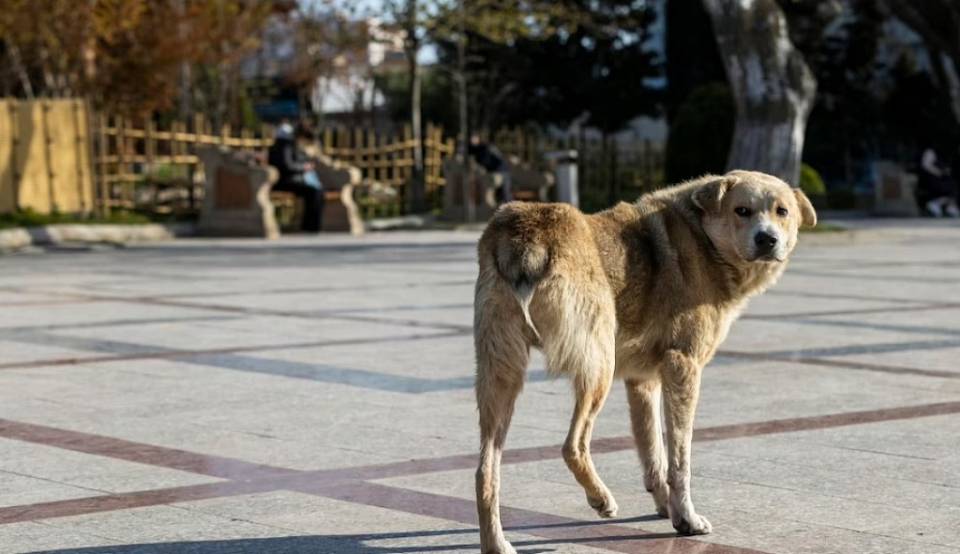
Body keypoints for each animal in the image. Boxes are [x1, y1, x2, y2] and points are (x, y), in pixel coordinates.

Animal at [472, 169, 816, 552]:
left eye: (782, 211)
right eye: (742, 210)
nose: (767, 239)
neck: (703, 238)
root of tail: (528, 232)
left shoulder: (643, 380)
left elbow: (653, 452)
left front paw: (668, 509)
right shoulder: (682, 367)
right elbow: (679, 458)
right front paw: (687, 518)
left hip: (500, 376)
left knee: (485, 470)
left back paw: (496, 542)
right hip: (598, 367)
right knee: (572, 446)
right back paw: (601, 499)